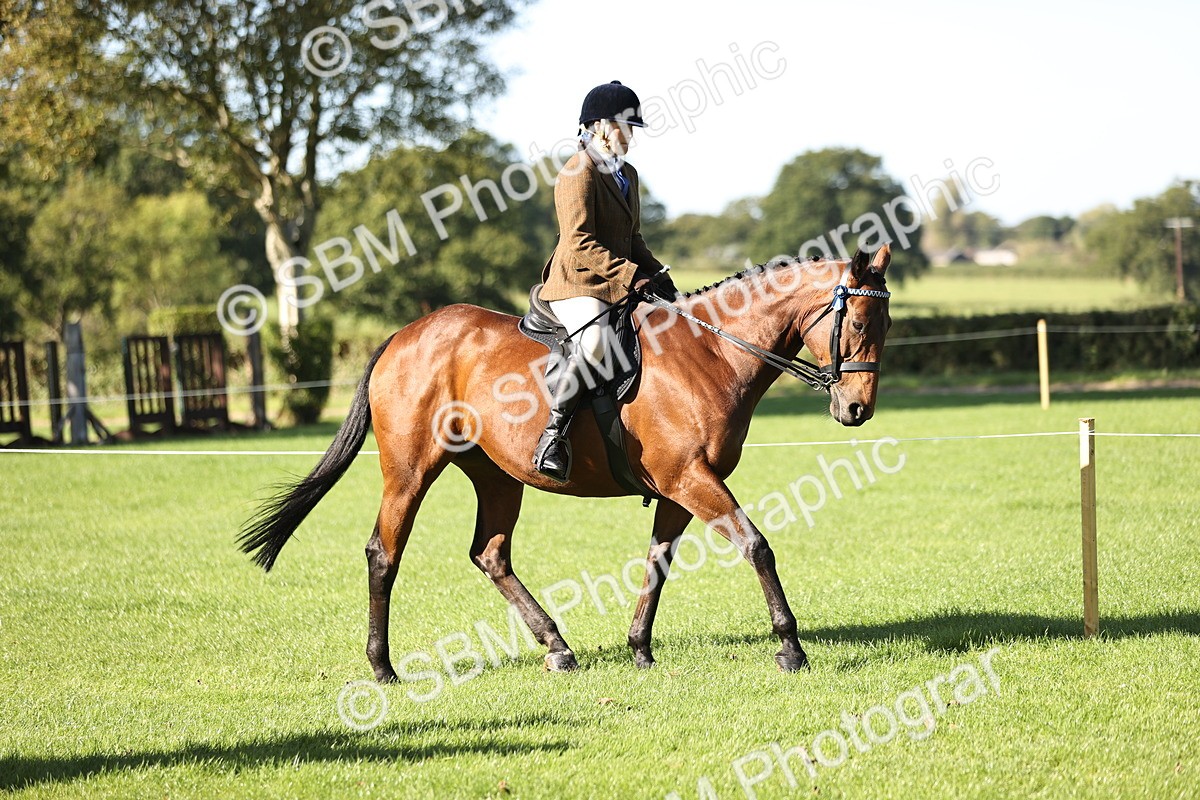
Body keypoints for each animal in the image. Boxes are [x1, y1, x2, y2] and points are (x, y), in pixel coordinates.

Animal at [239, 245, 893, 681]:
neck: (710, 352)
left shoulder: (682, 487)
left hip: (497, 476)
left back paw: (557, 646)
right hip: (410, 469)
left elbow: (657, 562)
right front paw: (790, 647)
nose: (857, 409)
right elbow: (757, 545)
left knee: (490, 554)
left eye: (886, 324)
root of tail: (405, 335)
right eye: (861, 322)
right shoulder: (691, 479)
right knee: (385, 553)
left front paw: (639, 648)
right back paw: (383, 668)